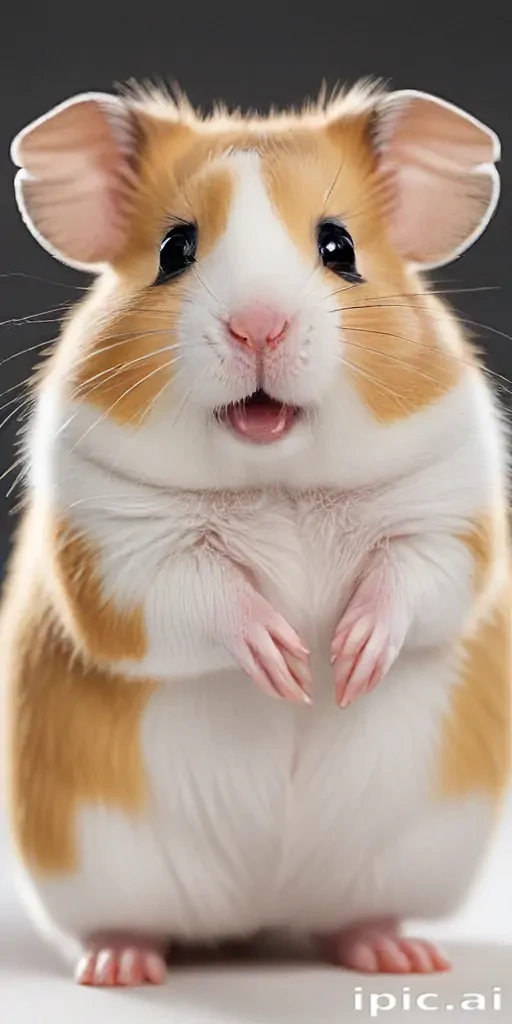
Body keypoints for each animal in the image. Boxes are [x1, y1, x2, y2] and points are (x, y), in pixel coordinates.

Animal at [1, 80, 510, 986]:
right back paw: (120, 965)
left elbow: (412, 578)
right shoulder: (114, 550)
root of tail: (258, 915)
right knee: (132, 924)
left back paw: (400, 954)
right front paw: (286, 662)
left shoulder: (450, 515)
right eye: (175, 249)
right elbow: (199, 592)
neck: (280, 484)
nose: (259, 326)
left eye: (339, 247)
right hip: (103, 870)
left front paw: (345, 659)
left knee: (351, 918)